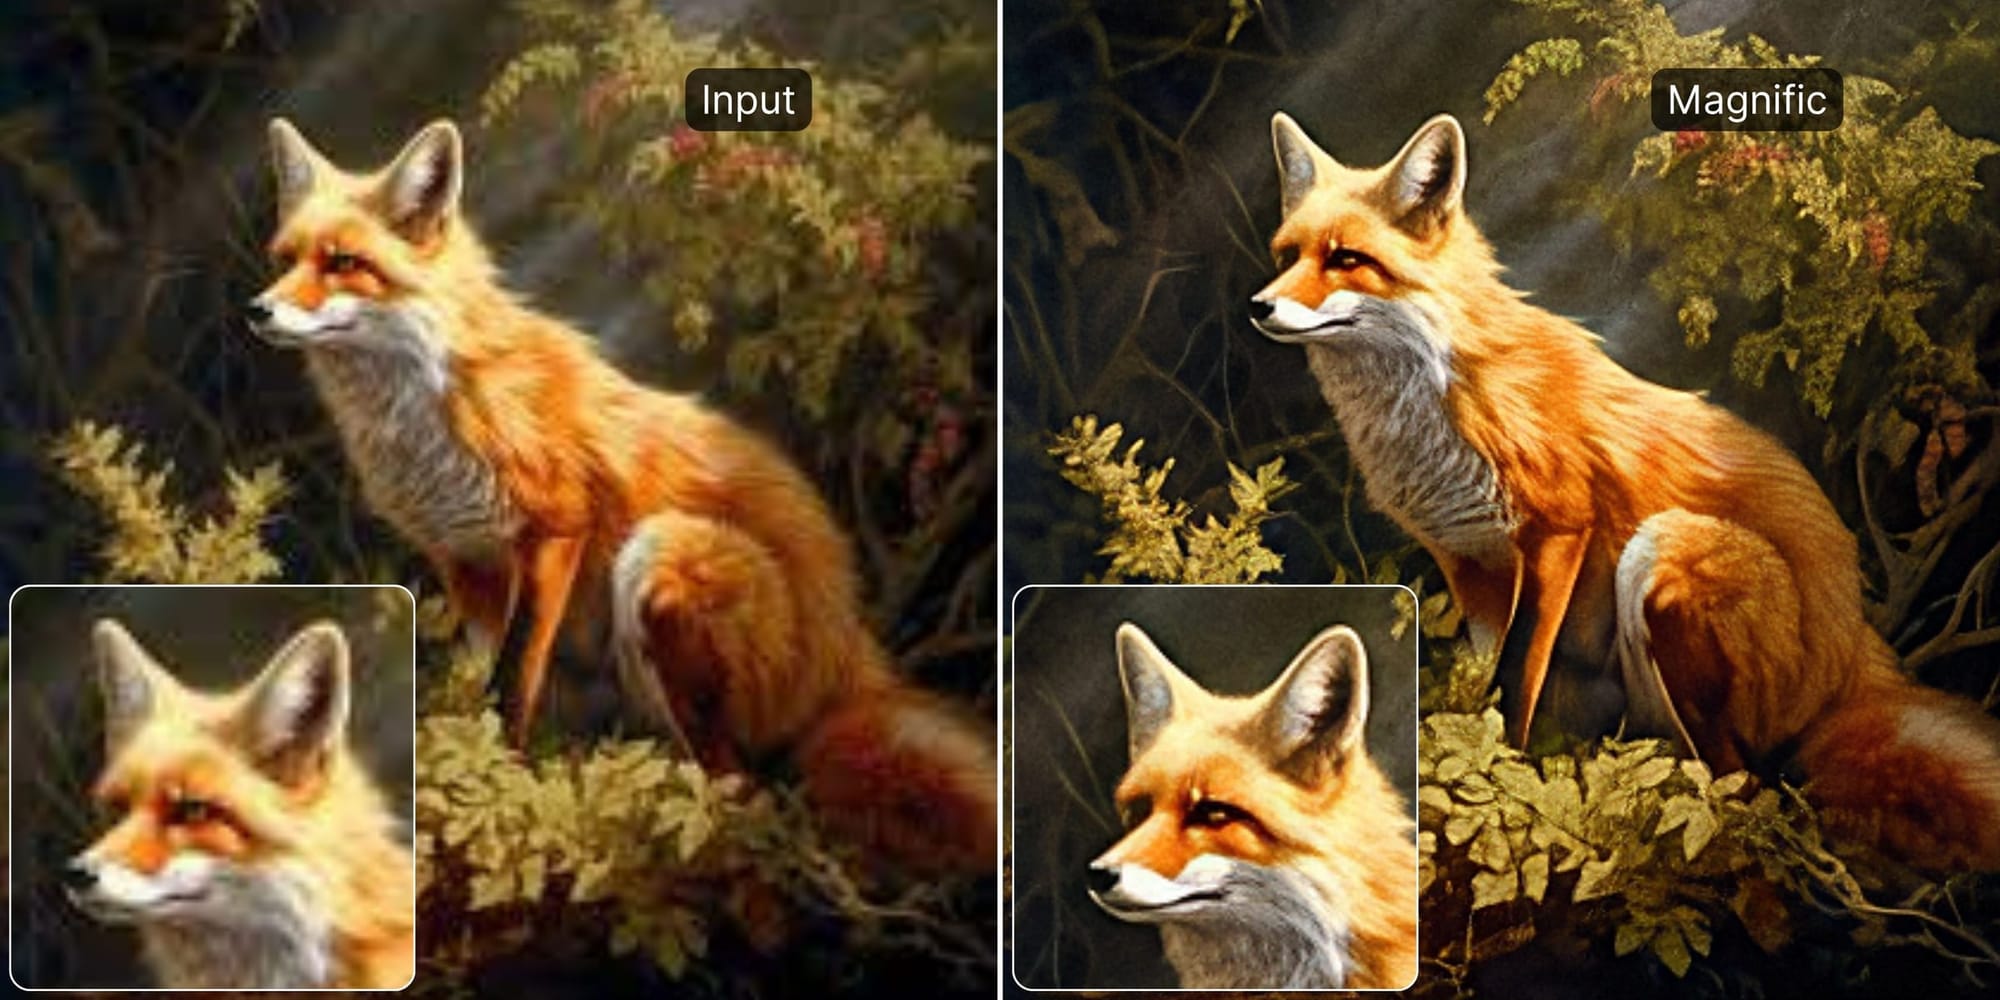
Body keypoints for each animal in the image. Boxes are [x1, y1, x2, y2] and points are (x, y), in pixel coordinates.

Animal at [244, 118, 995, 875]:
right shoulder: (463, 560)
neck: (427, 410)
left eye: (342, 262)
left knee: (744, 786)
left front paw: (499, 783)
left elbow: (513, 681)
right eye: (284, 258)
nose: (256, 309)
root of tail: (849, 638)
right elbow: (495, 679)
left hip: (660, 557)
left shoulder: (554, 527)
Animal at [1249, 111, 2000, 871]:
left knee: (1743, 780)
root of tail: (1853, 642)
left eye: (1346, 258)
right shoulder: (1470, 564)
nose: (1259, 306)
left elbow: (1518, 679)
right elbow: (1482, 678)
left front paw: (1506, 778)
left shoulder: (1558, 530)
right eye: (1287, 253)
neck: (1436, 398)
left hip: (1661, 556)